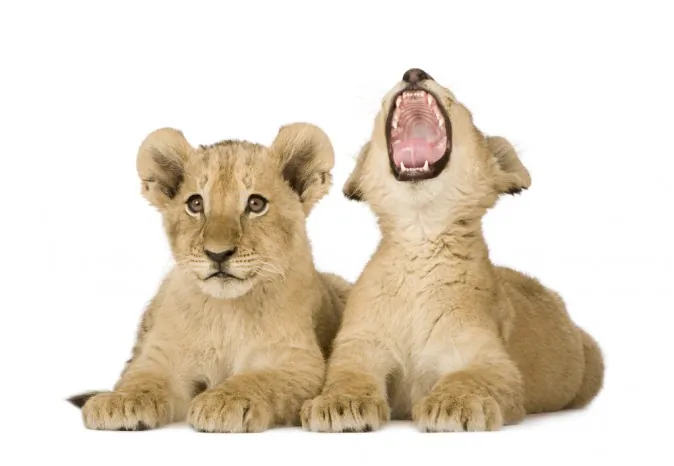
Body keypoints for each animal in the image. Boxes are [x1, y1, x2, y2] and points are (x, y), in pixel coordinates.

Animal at [68, 123, 350, 432]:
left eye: (256, 204)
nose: (218, 254)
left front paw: (224, 402)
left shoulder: (299, 361)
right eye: (195, 204)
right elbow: (142, 378)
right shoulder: (162, 356)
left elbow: (258, 379)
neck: (224, 312)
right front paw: (119, 401)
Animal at [301, 68, 604, 432]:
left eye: (460, 104)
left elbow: (471, 378)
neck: (419, 237)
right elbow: (346, 376)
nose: (414, 72)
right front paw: (339, 404)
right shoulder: (358, 346)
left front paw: (453, 405)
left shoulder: (492, 359)